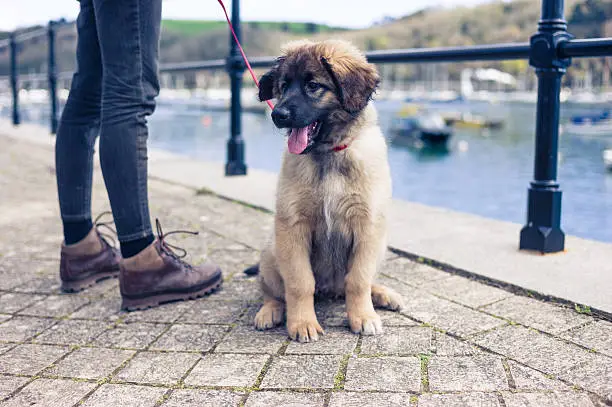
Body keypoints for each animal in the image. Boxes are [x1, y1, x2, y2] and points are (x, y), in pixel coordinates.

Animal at [251, 39, 404, 342]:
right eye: (283, 86)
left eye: (313, 86)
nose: (277, 115)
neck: (329, 153)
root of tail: (331, 291)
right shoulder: (293, 225)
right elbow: (299, 283)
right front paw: (302, 323)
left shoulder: (368, 225)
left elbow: (358, 280)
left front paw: (363, 317)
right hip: (272, 252)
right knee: (272, 291)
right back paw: (270, 311)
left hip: (380, 246)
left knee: (362, 282)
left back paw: (383, 295)